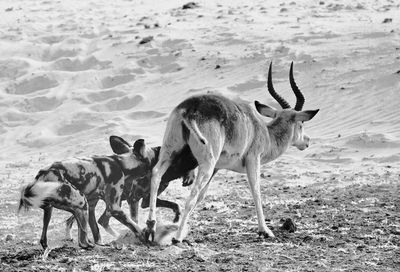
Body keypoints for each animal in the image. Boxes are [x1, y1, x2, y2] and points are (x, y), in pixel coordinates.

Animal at [142, 62, 320, 243]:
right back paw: (176, 238)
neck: (263, 132)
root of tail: (191, 108)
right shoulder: (253, 160)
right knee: (190, 195)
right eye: (301, 123)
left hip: (171, 152)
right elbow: (256, 192)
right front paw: (265, 230)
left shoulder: (217, 168)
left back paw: (151, 227)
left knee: (156, 174)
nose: (307, 141)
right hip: (206, 163)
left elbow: (202, 197)